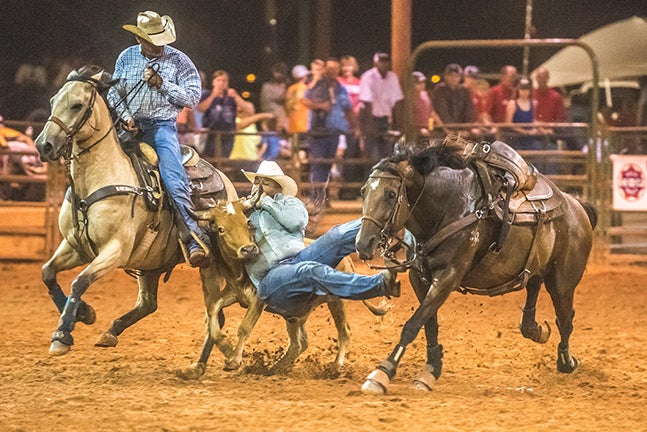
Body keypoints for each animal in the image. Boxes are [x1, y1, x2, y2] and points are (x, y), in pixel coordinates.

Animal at [35, 66, 238, 356]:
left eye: (77, 105)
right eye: (53, 101)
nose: (44, 145)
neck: (98, 180)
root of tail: (227, 184)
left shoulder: (115, 250)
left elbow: (80, 281)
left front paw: (62, 334)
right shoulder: (75, 245)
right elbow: (48, 273)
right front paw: (85, 313)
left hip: (209, 266)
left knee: (214, 313)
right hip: (149, 263)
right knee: (148, 303)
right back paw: (110, 332)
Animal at [177, 200, 388, 378]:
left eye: (247, 223)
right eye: (221, 229)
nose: (248, 249)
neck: (239, 271)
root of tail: (347, 261)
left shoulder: (258, 298)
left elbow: (244, 327)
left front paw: (234, 360)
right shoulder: (234, 292)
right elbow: (212, 309)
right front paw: (226, 346)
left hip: (336, 301)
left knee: (344, 332)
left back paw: (335, 366)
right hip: (294, 312)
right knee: (299, 344)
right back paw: (276, 367)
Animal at [354, 138, 596, 394]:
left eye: (391, 194)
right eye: (363, 191)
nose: (363, 244)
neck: (448, 207)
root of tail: (577, 206)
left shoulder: (448, 276)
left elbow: (413, 324)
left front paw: (382, 372)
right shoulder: (420, 277)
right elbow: (429, 323)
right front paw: (431, 370)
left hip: (562, 283)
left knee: (565, 319)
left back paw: (566, 361)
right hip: (537, 268)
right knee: (534, 288)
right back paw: (535, 330)